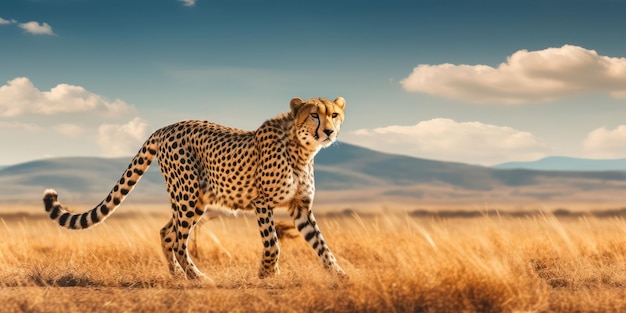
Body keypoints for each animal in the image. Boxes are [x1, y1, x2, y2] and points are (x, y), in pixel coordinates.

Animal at [42, 96, 346, 280]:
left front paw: (340, 275)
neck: (302, 149)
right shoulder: (262, 203)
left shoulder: (300, 207)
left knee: (166, 232)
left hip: (195, 199)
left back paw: (178, 276)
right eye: (314, 116)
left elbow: (321, 244)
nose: (329, 131)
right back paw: (198, 277)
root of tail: (166, 127)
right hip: (187, 195)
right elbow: (273, 243)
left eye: (334, 114)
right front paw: (266, 273)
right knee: (178, 240)